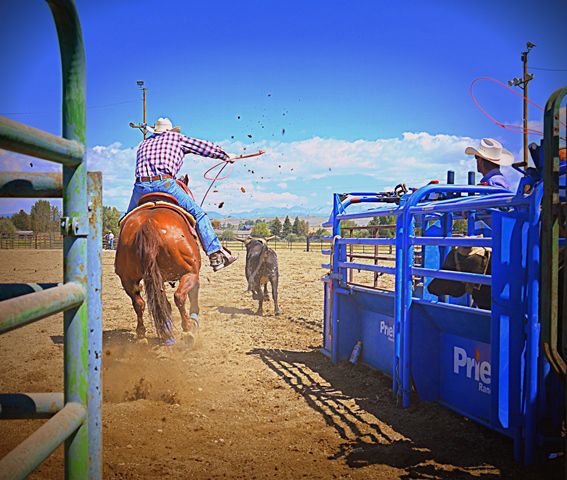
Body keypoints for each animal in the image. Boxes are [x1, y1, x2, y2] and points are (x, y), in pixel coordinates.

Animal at [114, 198, 201, 344]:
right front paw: (194, 320)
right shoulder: (194, 273)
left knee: (140, 303)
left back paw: (144, 335)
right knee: (179, 296)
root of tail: (148, 224)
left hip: (127, 278)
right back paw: (187, 330)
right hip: (190, 272)